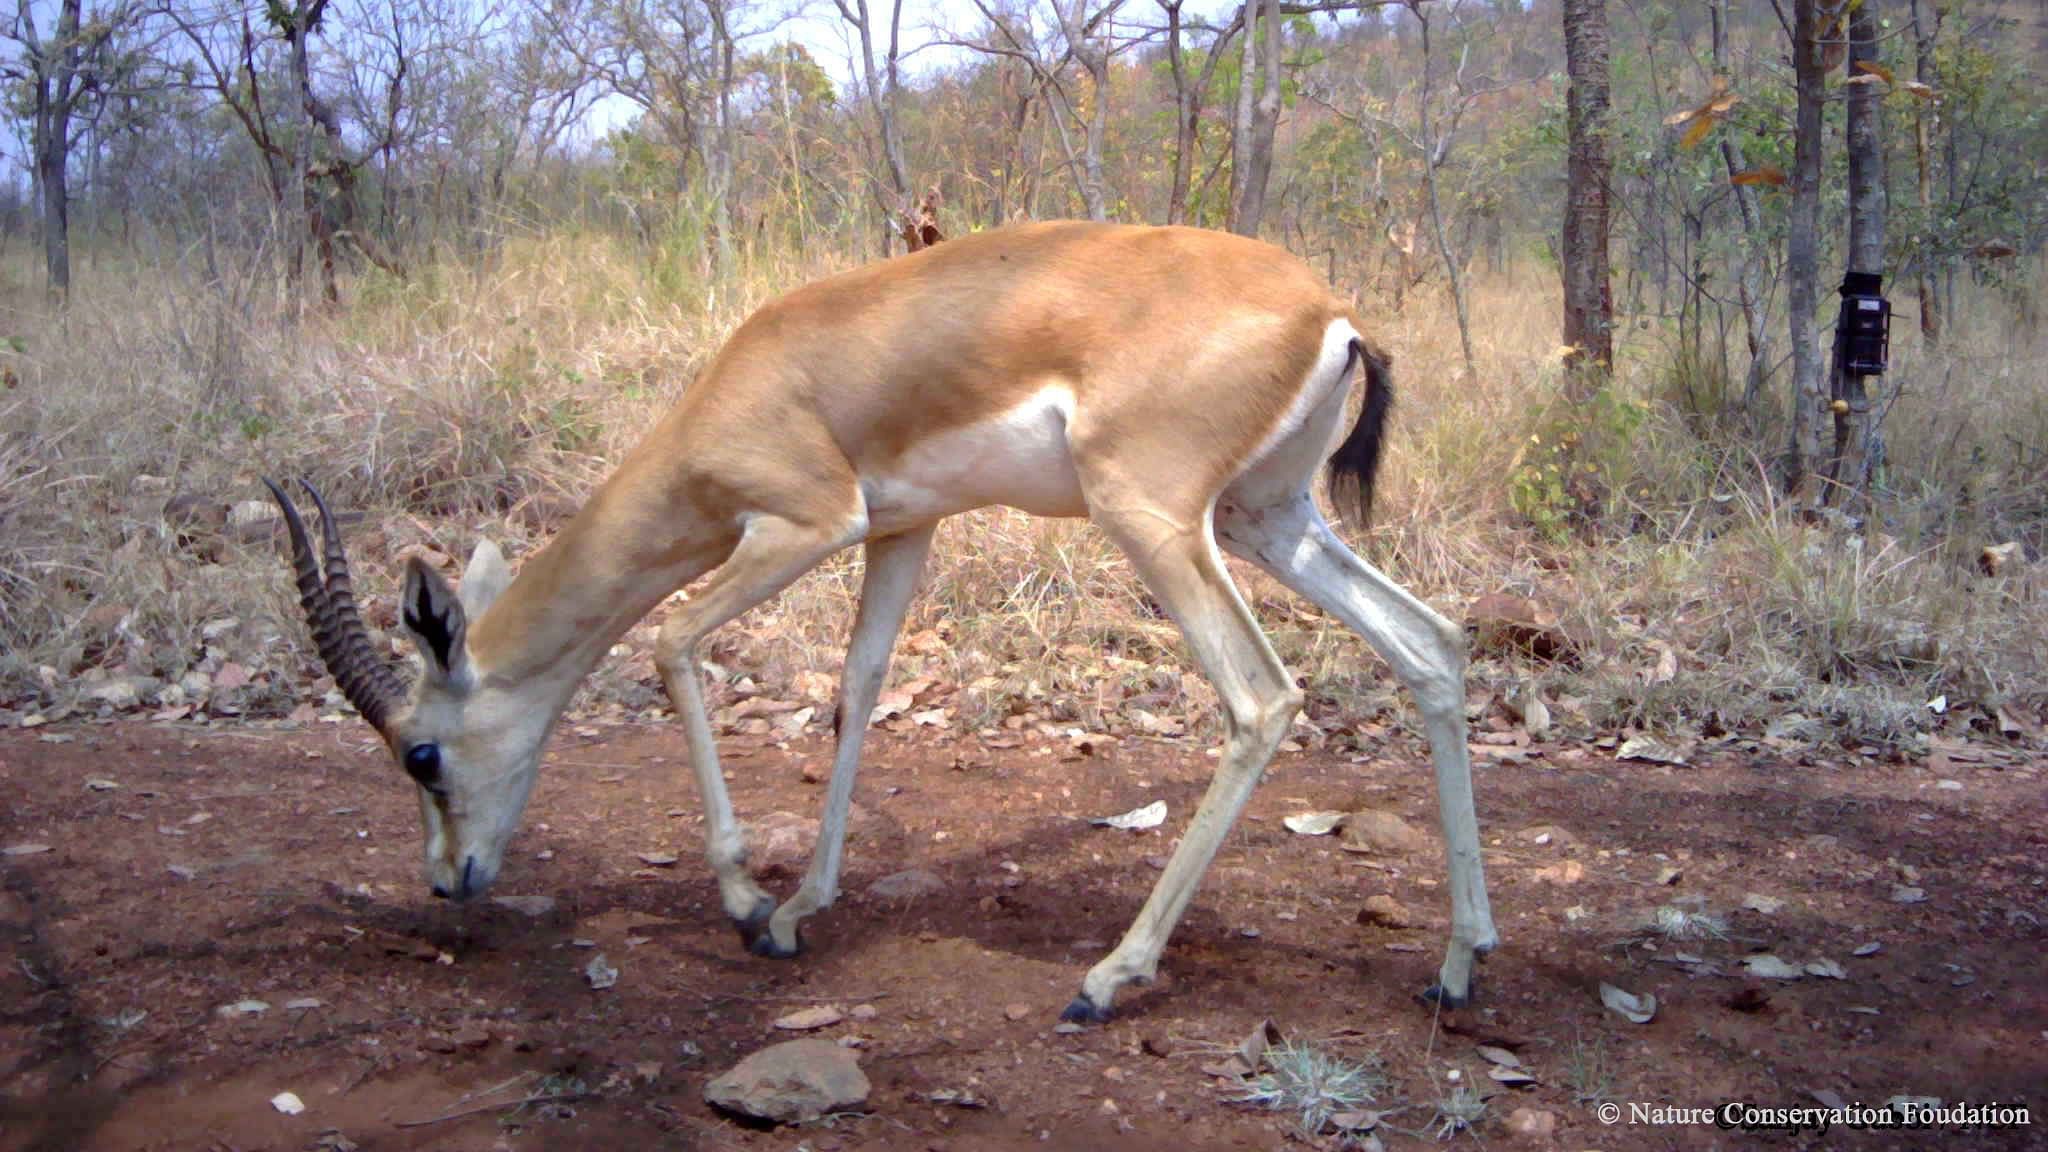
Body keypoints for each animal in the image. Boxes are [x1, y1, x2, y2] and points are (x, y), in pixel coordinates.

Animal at [264, 219, 1499, 1016]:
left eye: (420, 754)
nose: (446, 880)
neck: (743, 386)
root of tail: (1330, 313)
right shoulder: (903, 529)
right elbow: (856, 687)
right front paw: (801, 905)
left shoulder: (807, 522)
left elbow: (671, 639)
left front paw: (743, 901)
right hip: (1264, 518)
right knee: (1431, 645)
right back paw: (1459, 961)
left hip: (1155, 518)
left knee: (1261, 699)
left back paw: (1109, 978)